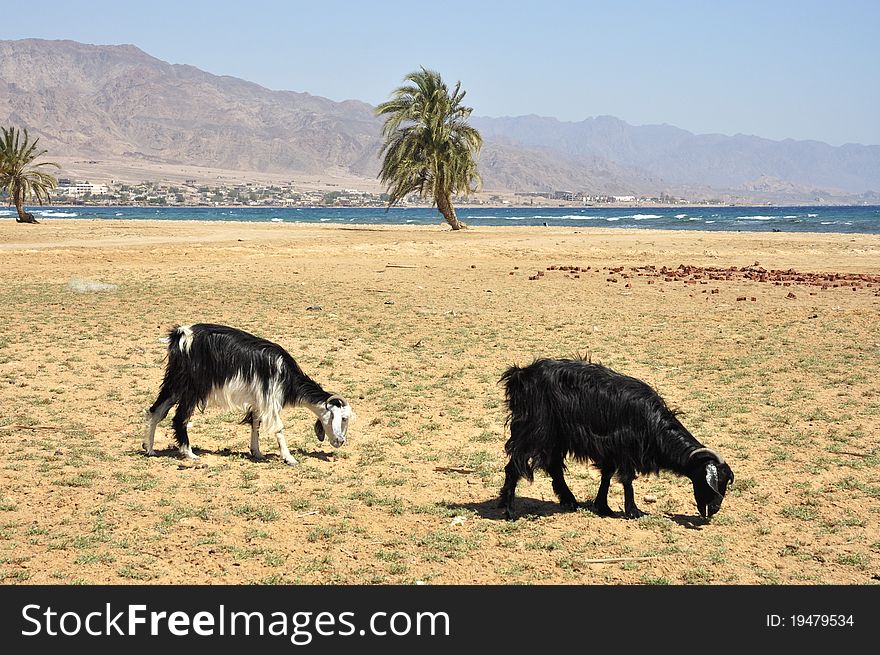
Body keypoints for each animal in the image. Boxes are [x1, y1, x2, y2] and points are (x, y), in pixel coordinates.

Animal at [144, 324, 350, 466]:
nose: (341, 441)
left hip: (175, 383)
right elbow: (278, 428)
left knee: (156, 410)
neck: (286, 373)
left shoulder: (259, 400)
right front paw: (289, 458)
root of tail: (182, 334)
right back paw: (189, 453)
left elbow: (255, 424)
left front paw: (256, 452)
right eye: (343, 418)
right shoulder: (270, 399)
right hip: (192, 388)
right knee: (179, 418)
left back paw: (149, 449)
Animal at [498, 358, 732, 524]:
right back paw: (509, 510)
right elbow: (627, 480)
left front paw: (603, 507)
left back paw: (569, 501)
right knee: (514, 466)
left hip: (555, 437)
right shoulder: (625, 448)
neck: (653, 424)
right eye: (717, 481)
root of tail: (520, 375)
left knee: (554, 467)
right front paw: (634, 511)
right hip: (535, 432)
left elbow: (607, 476)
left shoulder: (611, 451)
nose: (715, 509)